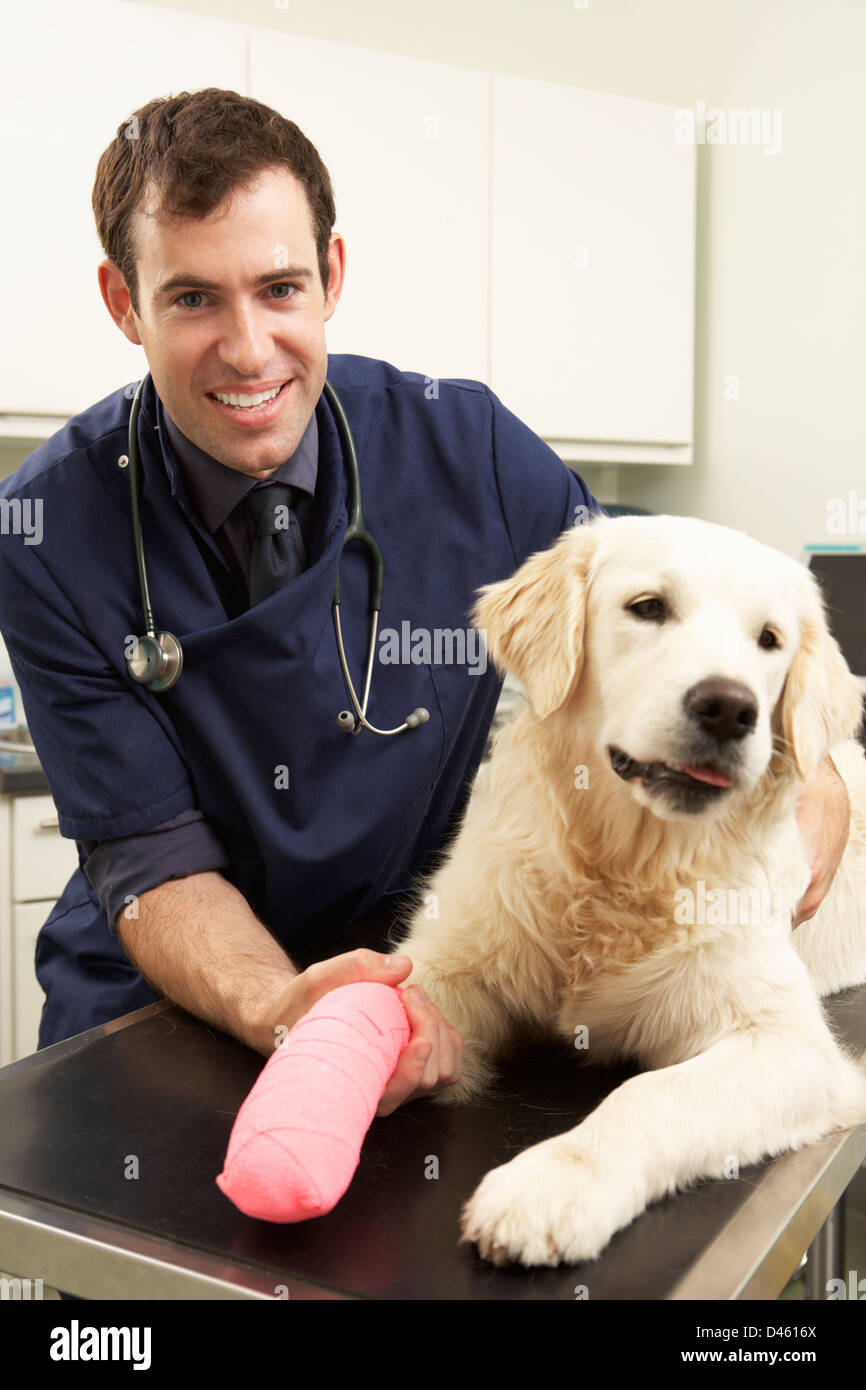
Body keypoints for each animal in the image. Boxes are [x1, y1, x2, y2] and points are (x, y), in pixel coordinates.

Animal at [391, 514, 866, 1273]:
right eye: (648, 608)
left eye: (769, 640)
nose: (729, 708)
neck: (623, 866)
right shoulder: (448, 959)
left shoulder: (788, 1046)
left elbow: (651, 1096)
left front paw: (550, 1184)